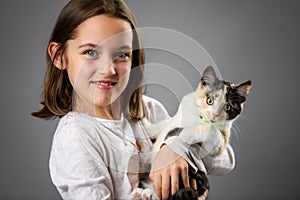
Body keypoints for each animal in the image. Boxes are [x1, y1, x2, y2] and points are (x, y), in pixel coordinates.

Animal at [132, 66, 252, 199]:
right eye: (209, 100)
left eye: (228, 107)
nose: (214, 114)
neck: (199, 117)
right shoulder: (177, 117)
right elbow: (165, 124)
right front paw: (145, 123)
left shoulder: (219, 145)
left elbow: (211, 129)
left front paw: (183, 136)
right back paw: (142, 193)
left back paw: (147, 194)